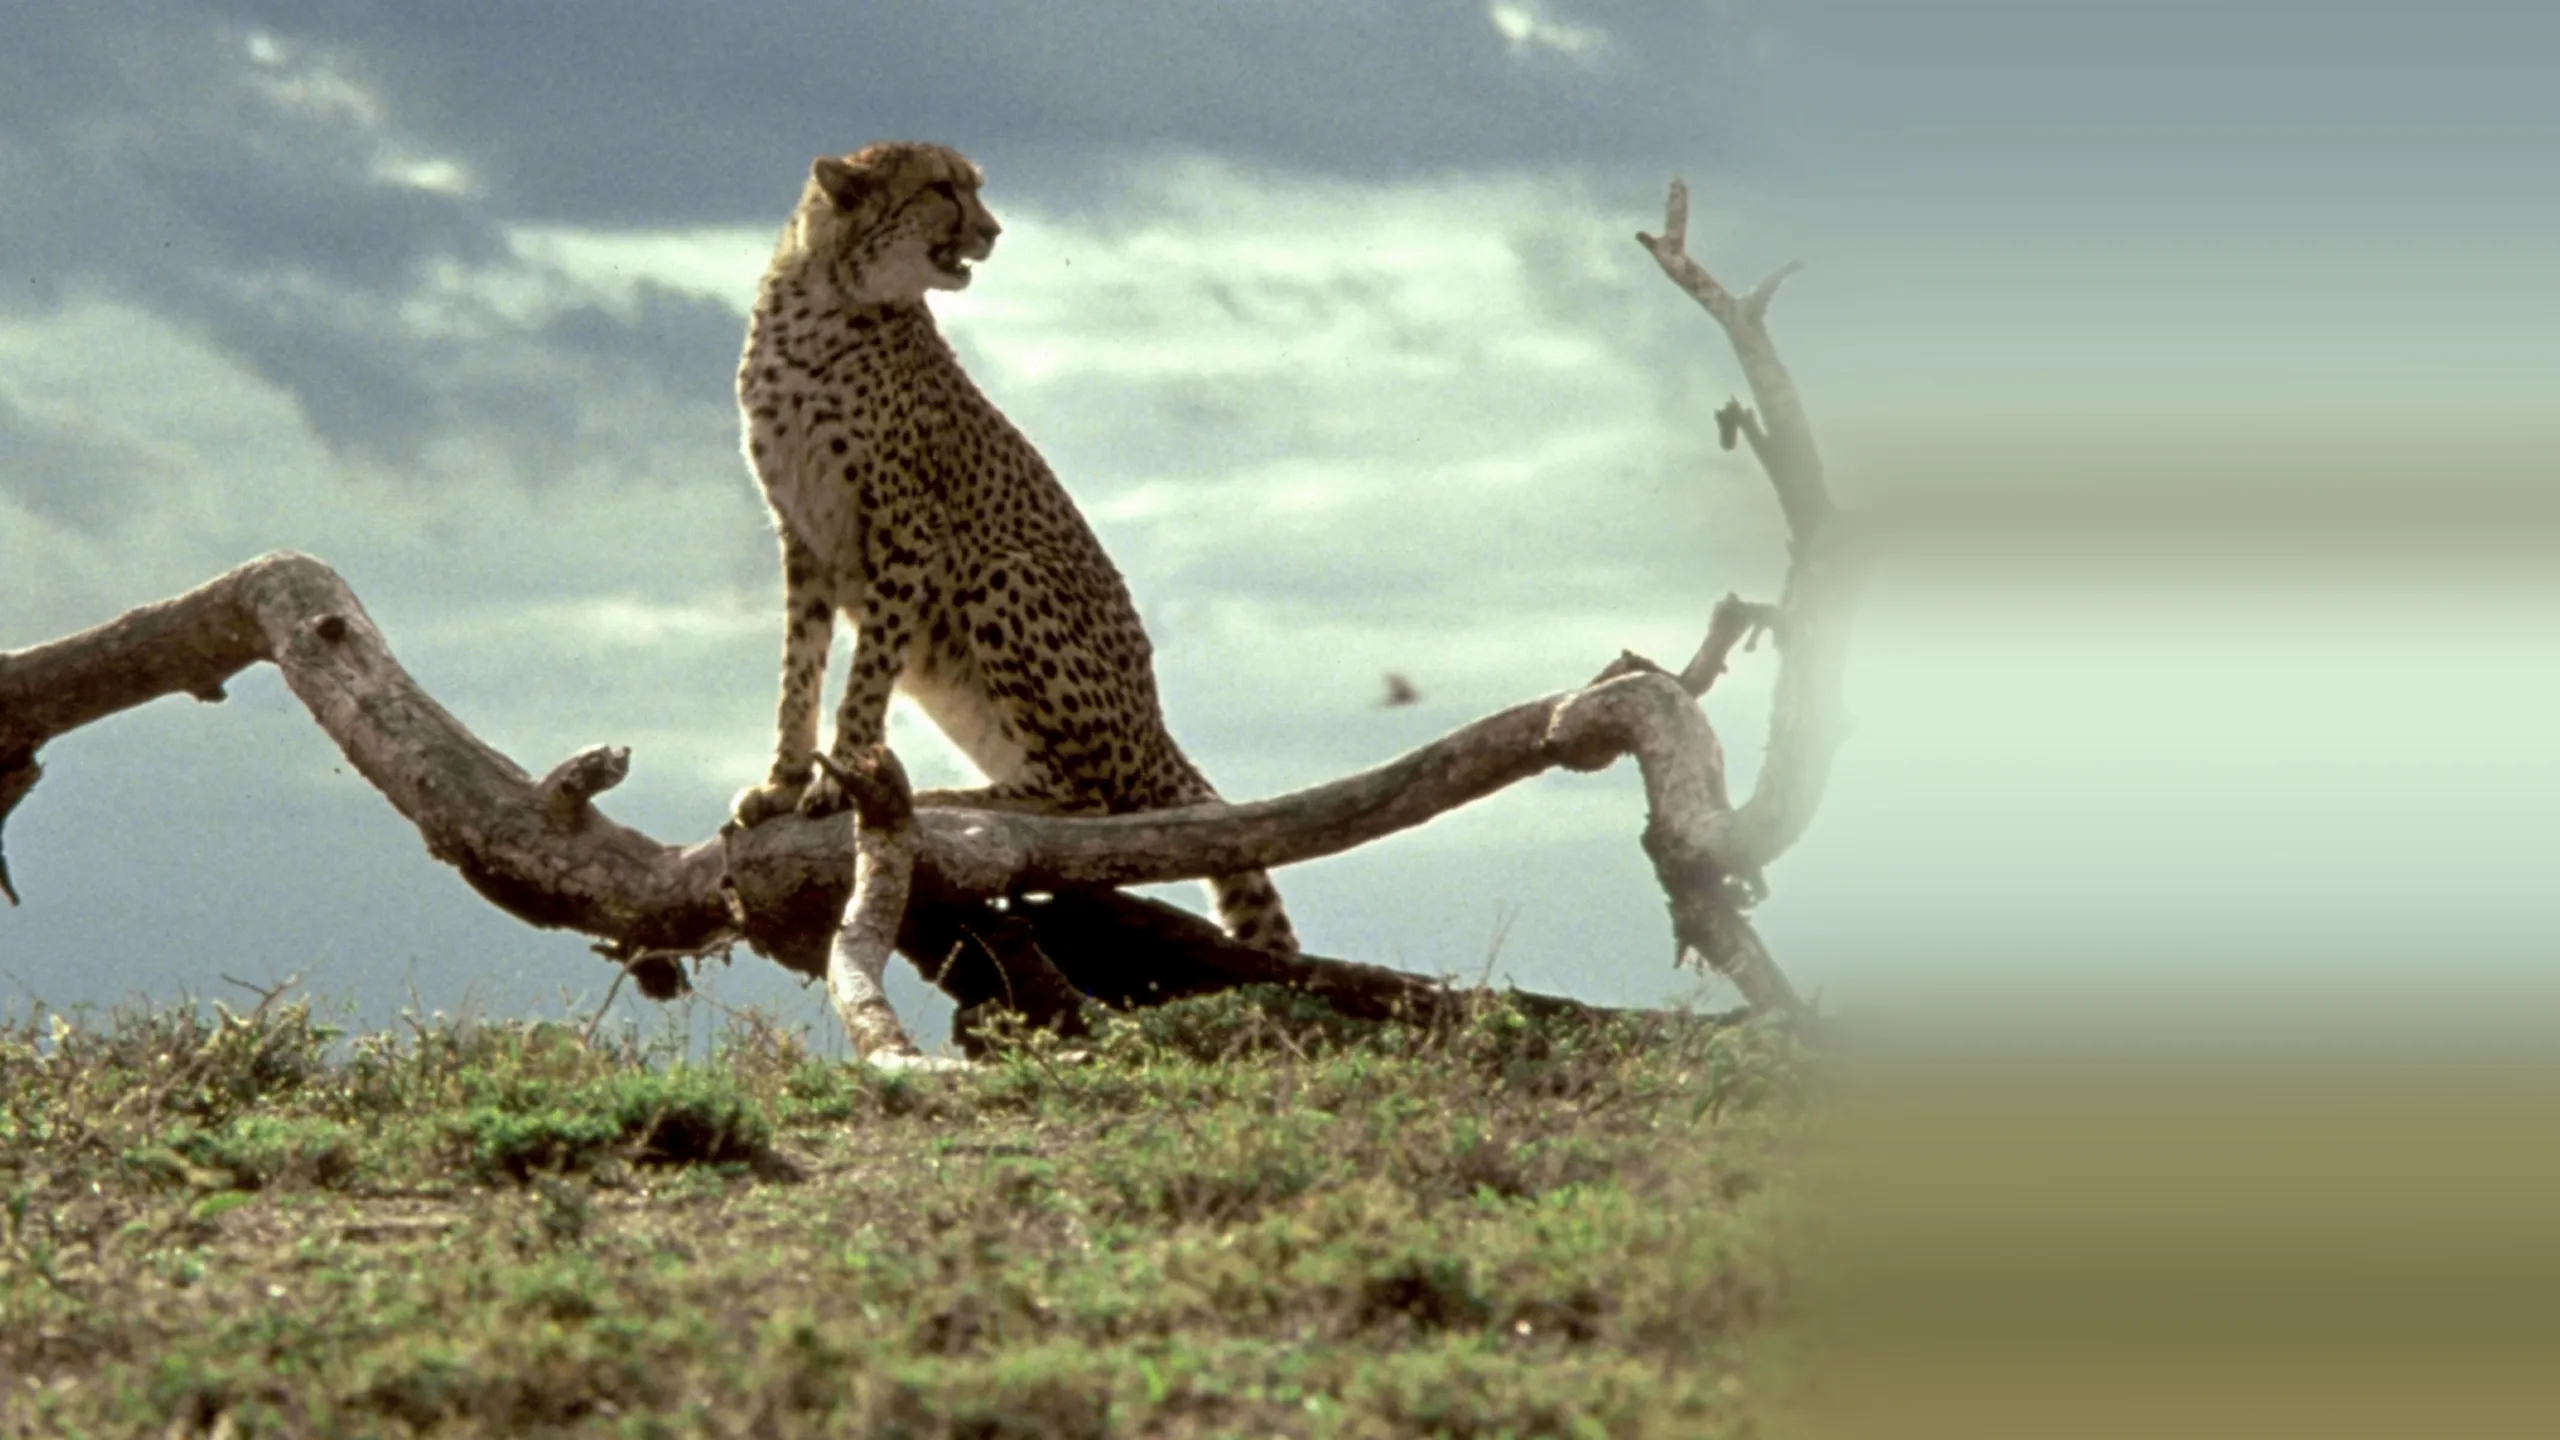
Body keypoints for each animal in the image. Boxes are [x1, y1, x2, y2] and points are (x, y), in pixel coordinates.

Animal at [724, 140, 1297, 955]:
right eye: (941, 189)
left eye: (974, 189)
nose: (992, 231)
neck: (829, 300)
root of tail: (1157, 731)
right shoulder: (802, 536)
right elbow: (797, 672)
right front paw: (782, 784)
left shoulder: (906, 526)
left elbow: (864, 679)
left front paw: (839, 783)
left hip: (1005, 575)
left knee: (1093, 801)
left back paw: (953, 799)